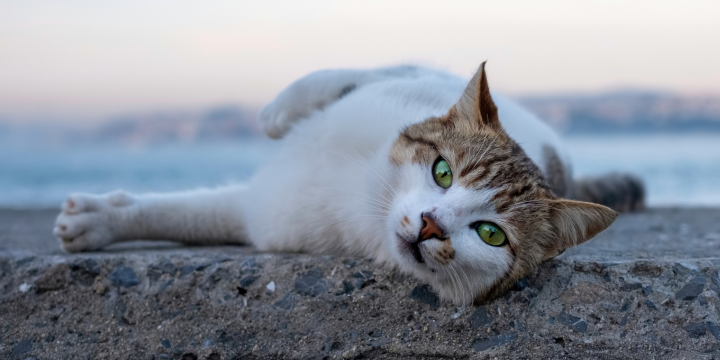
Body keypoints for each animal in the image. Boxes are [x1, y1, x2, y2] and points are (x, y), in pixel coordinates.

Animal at [53, 62, 644, 304]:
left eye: (491, 234)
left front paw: (99, 222)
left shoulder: (264, 214)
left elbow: (193, 217)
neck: (362, 194)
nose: (431, 226)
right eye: (442, 172)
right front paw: (102, 219)